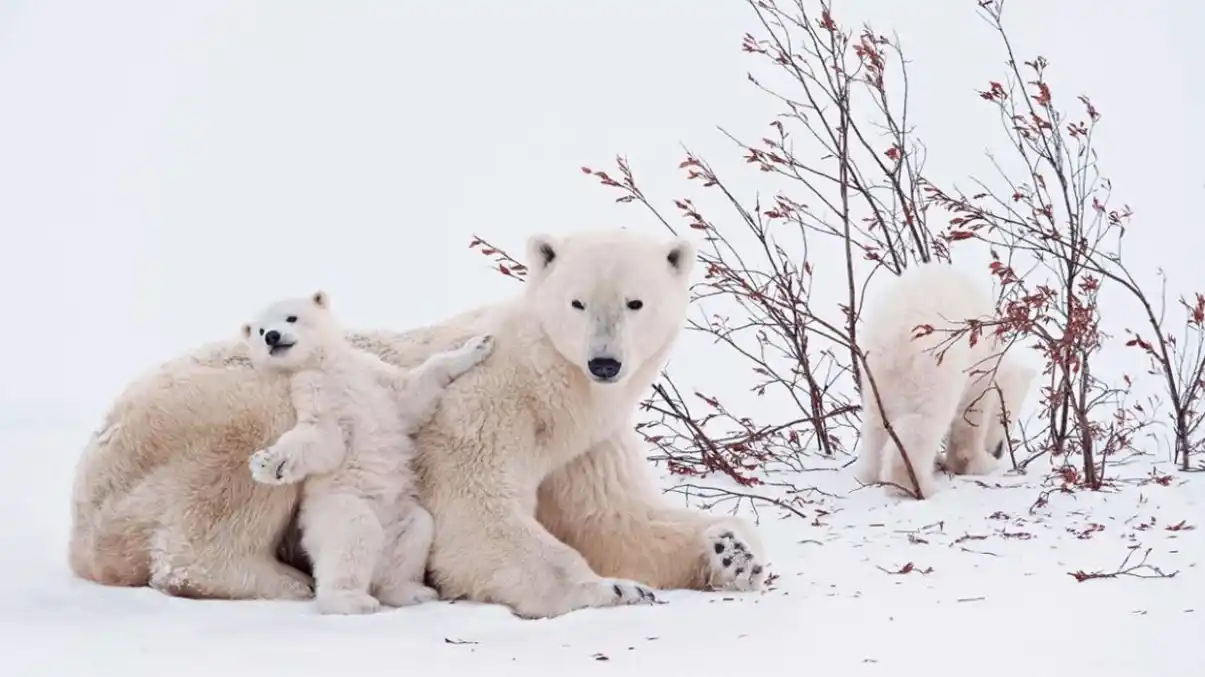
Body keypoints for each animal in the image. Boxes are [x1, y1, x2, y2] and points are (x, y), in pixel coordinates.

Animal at [240, 290, 494, 615]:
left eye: (291, 317)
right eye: (259, 331)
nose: (272, 336)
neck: (327, 366)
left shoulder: (371, 372)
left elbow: (410, 394)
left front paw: (479, 344)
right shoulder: (310, 387)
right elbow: (324, 436)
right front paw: (267, 463)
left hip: (400, 515)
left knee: (416, 530)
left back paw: (411, 592)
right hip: (337, 507)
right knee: (353, 534)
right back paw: (352, 600)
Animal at [849, 261, 1037, 499]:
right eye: (1007, 418)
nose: (999, 451)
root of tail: (894, 337)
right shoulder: (978, 371)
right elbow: (970, 420)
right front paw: (979, 463)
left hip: (875, 372)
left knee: (876, 421)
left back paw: (872, 475)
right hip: (933, 365)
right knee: (923, 422)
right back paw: (917, 486)